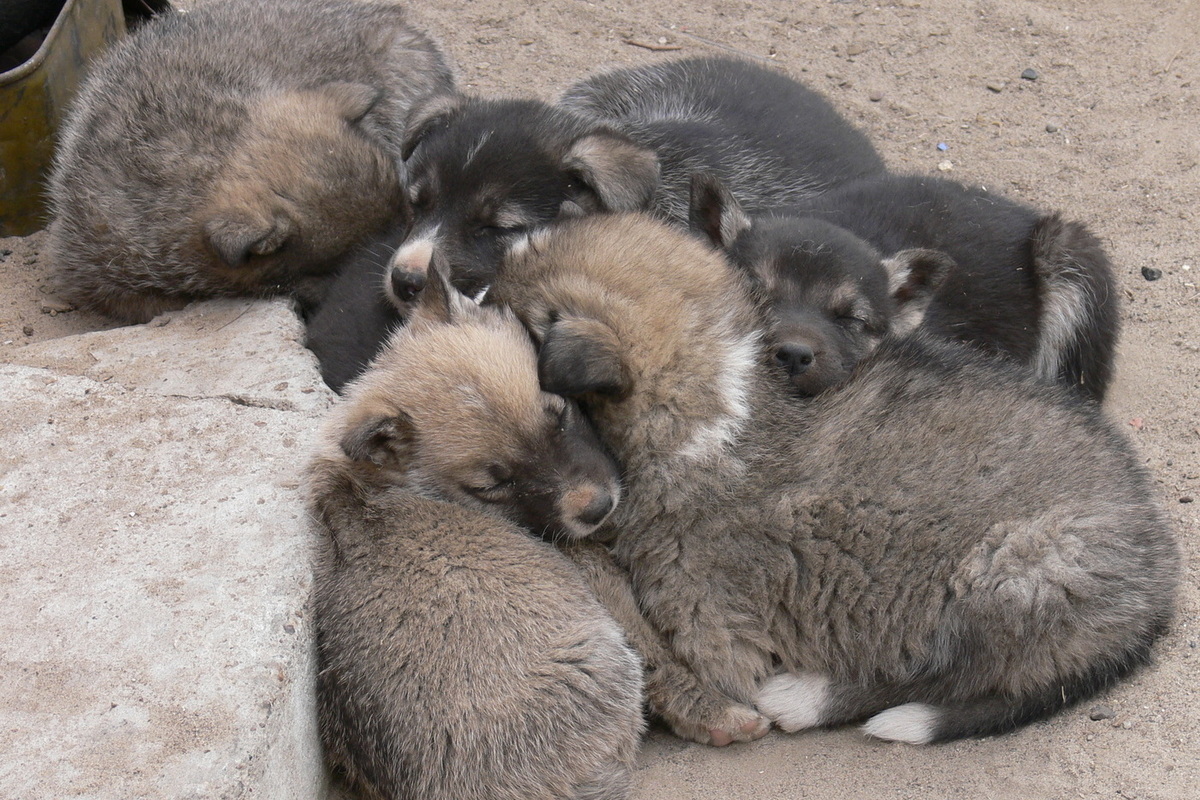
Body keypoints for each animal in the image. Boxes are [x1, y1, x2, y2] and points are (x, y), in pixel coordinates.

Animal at [487, 215, 1180, 748]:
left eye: (507, 303)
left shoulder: (714, 626)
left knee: (940, 676)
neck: (719, 399)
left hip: (1015, 574)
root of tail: (1158, 589)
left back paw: (804, 697)